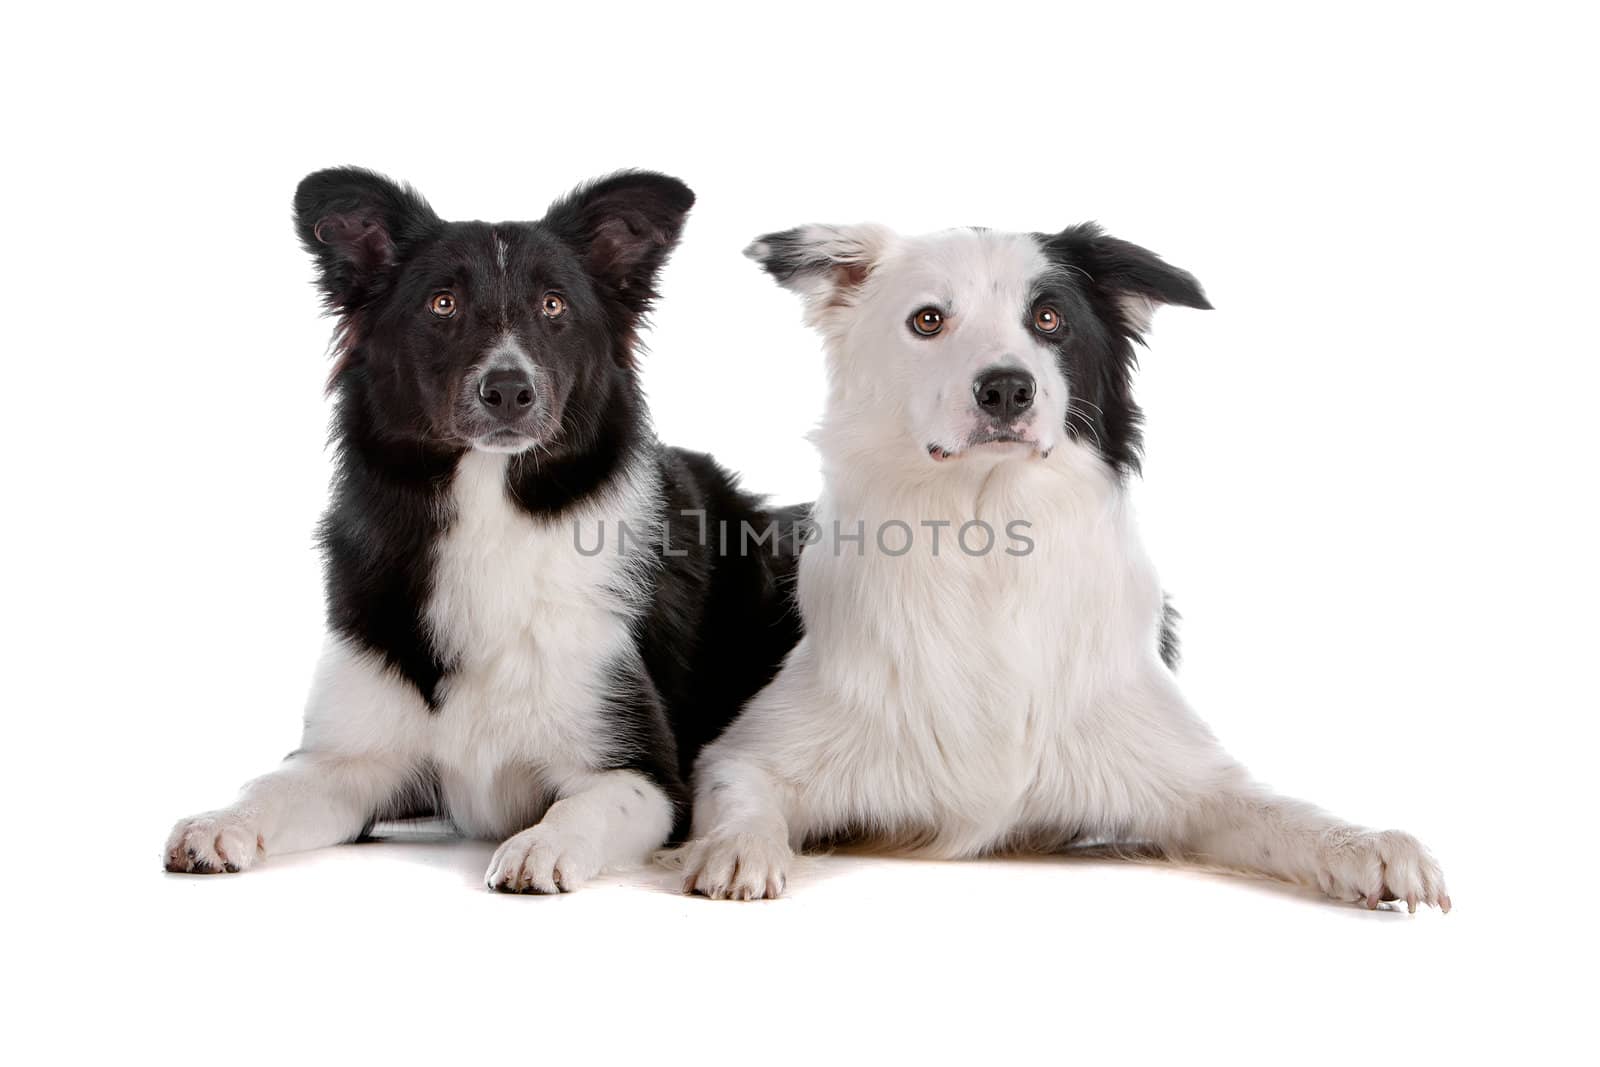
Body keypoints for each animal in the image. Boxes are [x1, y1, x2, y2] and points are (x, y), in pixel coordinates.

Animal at [165, 168, 800, 895]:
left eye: (554, 306)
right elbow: (270, 786)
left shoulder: (643, 773)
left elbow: (583, 807)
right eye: (442, 304)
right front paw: (221, 821)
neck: (490, 511)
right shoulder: (347, 761)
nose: (508, 390)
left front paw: (541, 845)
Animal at [681, 219, 1459, 908]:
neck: (989, 536)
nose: (1006, 388)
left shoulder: (1193, 779)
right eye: (928, 320)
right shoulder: (749, 752)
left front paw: (1368, 845)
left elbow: (1282, 812)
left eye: (1049, 318)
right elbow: (738, 793)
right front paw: (736, 848)